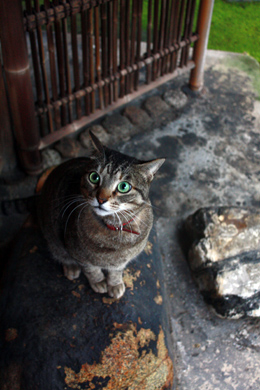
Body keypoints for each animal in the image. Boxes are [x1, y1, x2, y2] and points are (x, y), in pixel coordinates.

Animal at [38, 131, 165, 298]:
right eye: (94, 177)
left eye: (124, 186)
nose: (101, 199)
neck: (115, 228)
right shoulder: (79, 255)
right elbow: (92, 270)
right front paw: (99, 282)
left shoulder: (120, 262)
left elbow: (116, 272)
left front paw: (114, 284)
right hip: (52, 233)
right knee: (59, 252)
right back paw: (71, 267)